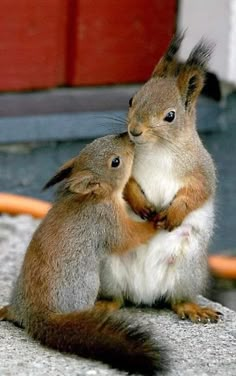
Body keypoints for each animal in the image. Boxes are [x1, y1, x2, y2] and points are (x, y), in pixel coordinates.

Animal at [99, 33, 221, 324]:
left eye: (170, 116)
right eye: (132, 99)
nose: (134, 131)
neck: (158, 148)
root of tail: (144, 292)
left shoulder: (202, 171)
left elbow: (198, 193)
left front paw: (175, 213)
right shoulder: (124, 168)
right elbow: (125, 187)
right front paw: (140, 204)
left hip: (187, 270)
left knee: (176, 299)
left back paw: (192, 308)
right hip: (108, 267)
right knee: (116, 298)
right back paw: (102, 305)